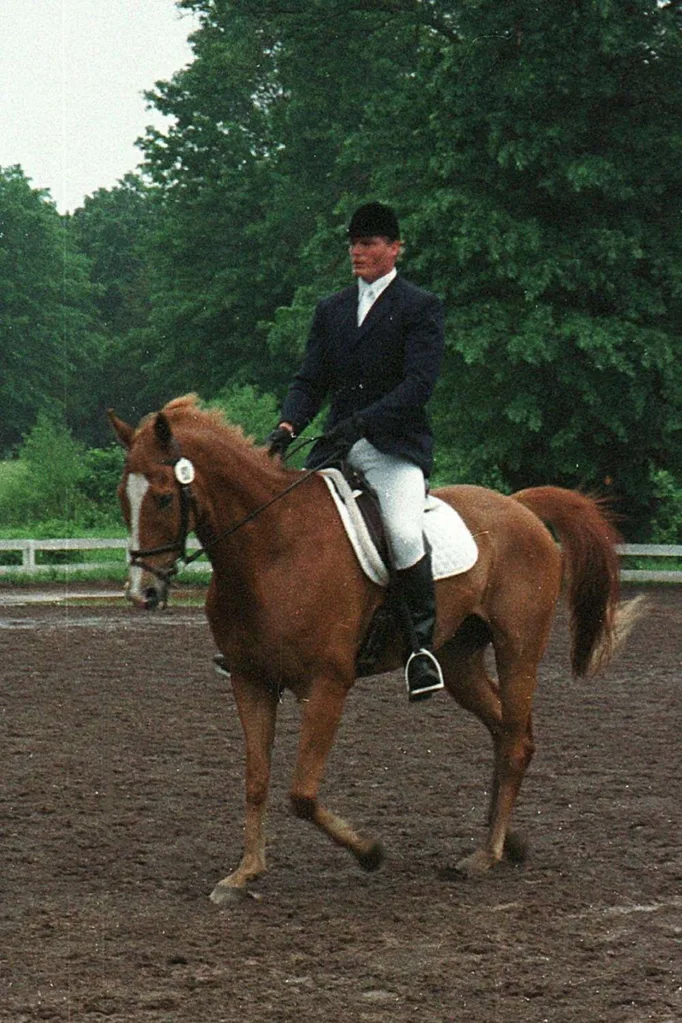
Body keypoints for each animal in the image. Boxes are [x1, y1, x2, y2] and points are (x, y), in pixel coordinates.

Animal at [110, 394, 631, 904]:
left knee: (517, 742)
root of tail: (519, 507)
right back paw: (503, 843)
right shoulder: (250, 680)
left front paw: (369, 852)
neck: (273, 549)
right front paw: (243, 875)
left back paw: (488, 854)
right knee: (505, 732)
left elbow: (302, 793)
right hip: (460, 661)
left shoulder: (326, 685)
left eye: (162, 496)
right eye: (122, 497)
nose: (142, 593)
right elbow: (257, 780)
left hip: (518, 650)